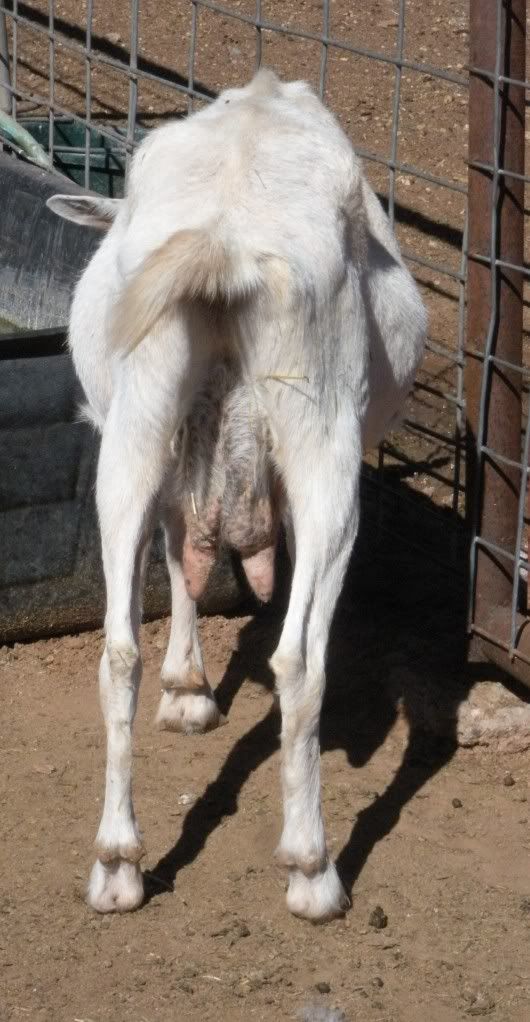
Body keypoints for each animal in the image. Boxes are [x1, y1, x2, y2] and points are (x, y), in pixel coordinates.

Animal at [47, 69, 426, 922]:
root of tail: (223, 236)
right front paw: (192, 690)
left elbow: (174, 547)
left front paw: (187, 692)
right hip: (323, 437)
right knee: (301, 659)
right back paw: (313, 871)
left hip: (137, 420)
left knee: (119, 647)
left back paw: (117, 864)